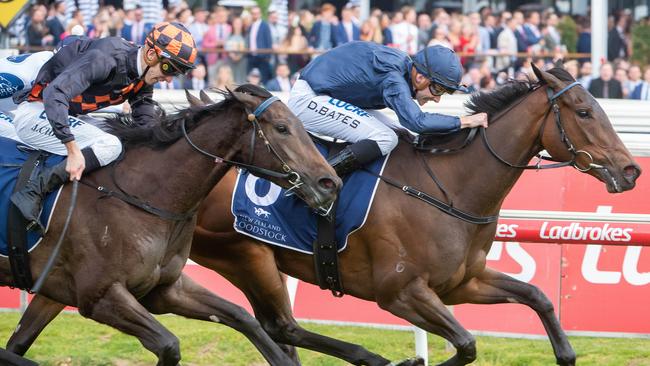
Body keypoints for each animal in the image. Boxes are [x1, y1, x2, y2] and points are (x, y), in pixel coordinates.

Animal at [0, 84, 342, 364]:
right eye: (283, 128)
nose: (330, 183)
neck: (142, 195)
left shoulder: (164, 289)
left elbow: (243, 316)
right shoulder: (99, 296)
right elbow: (168, 345)